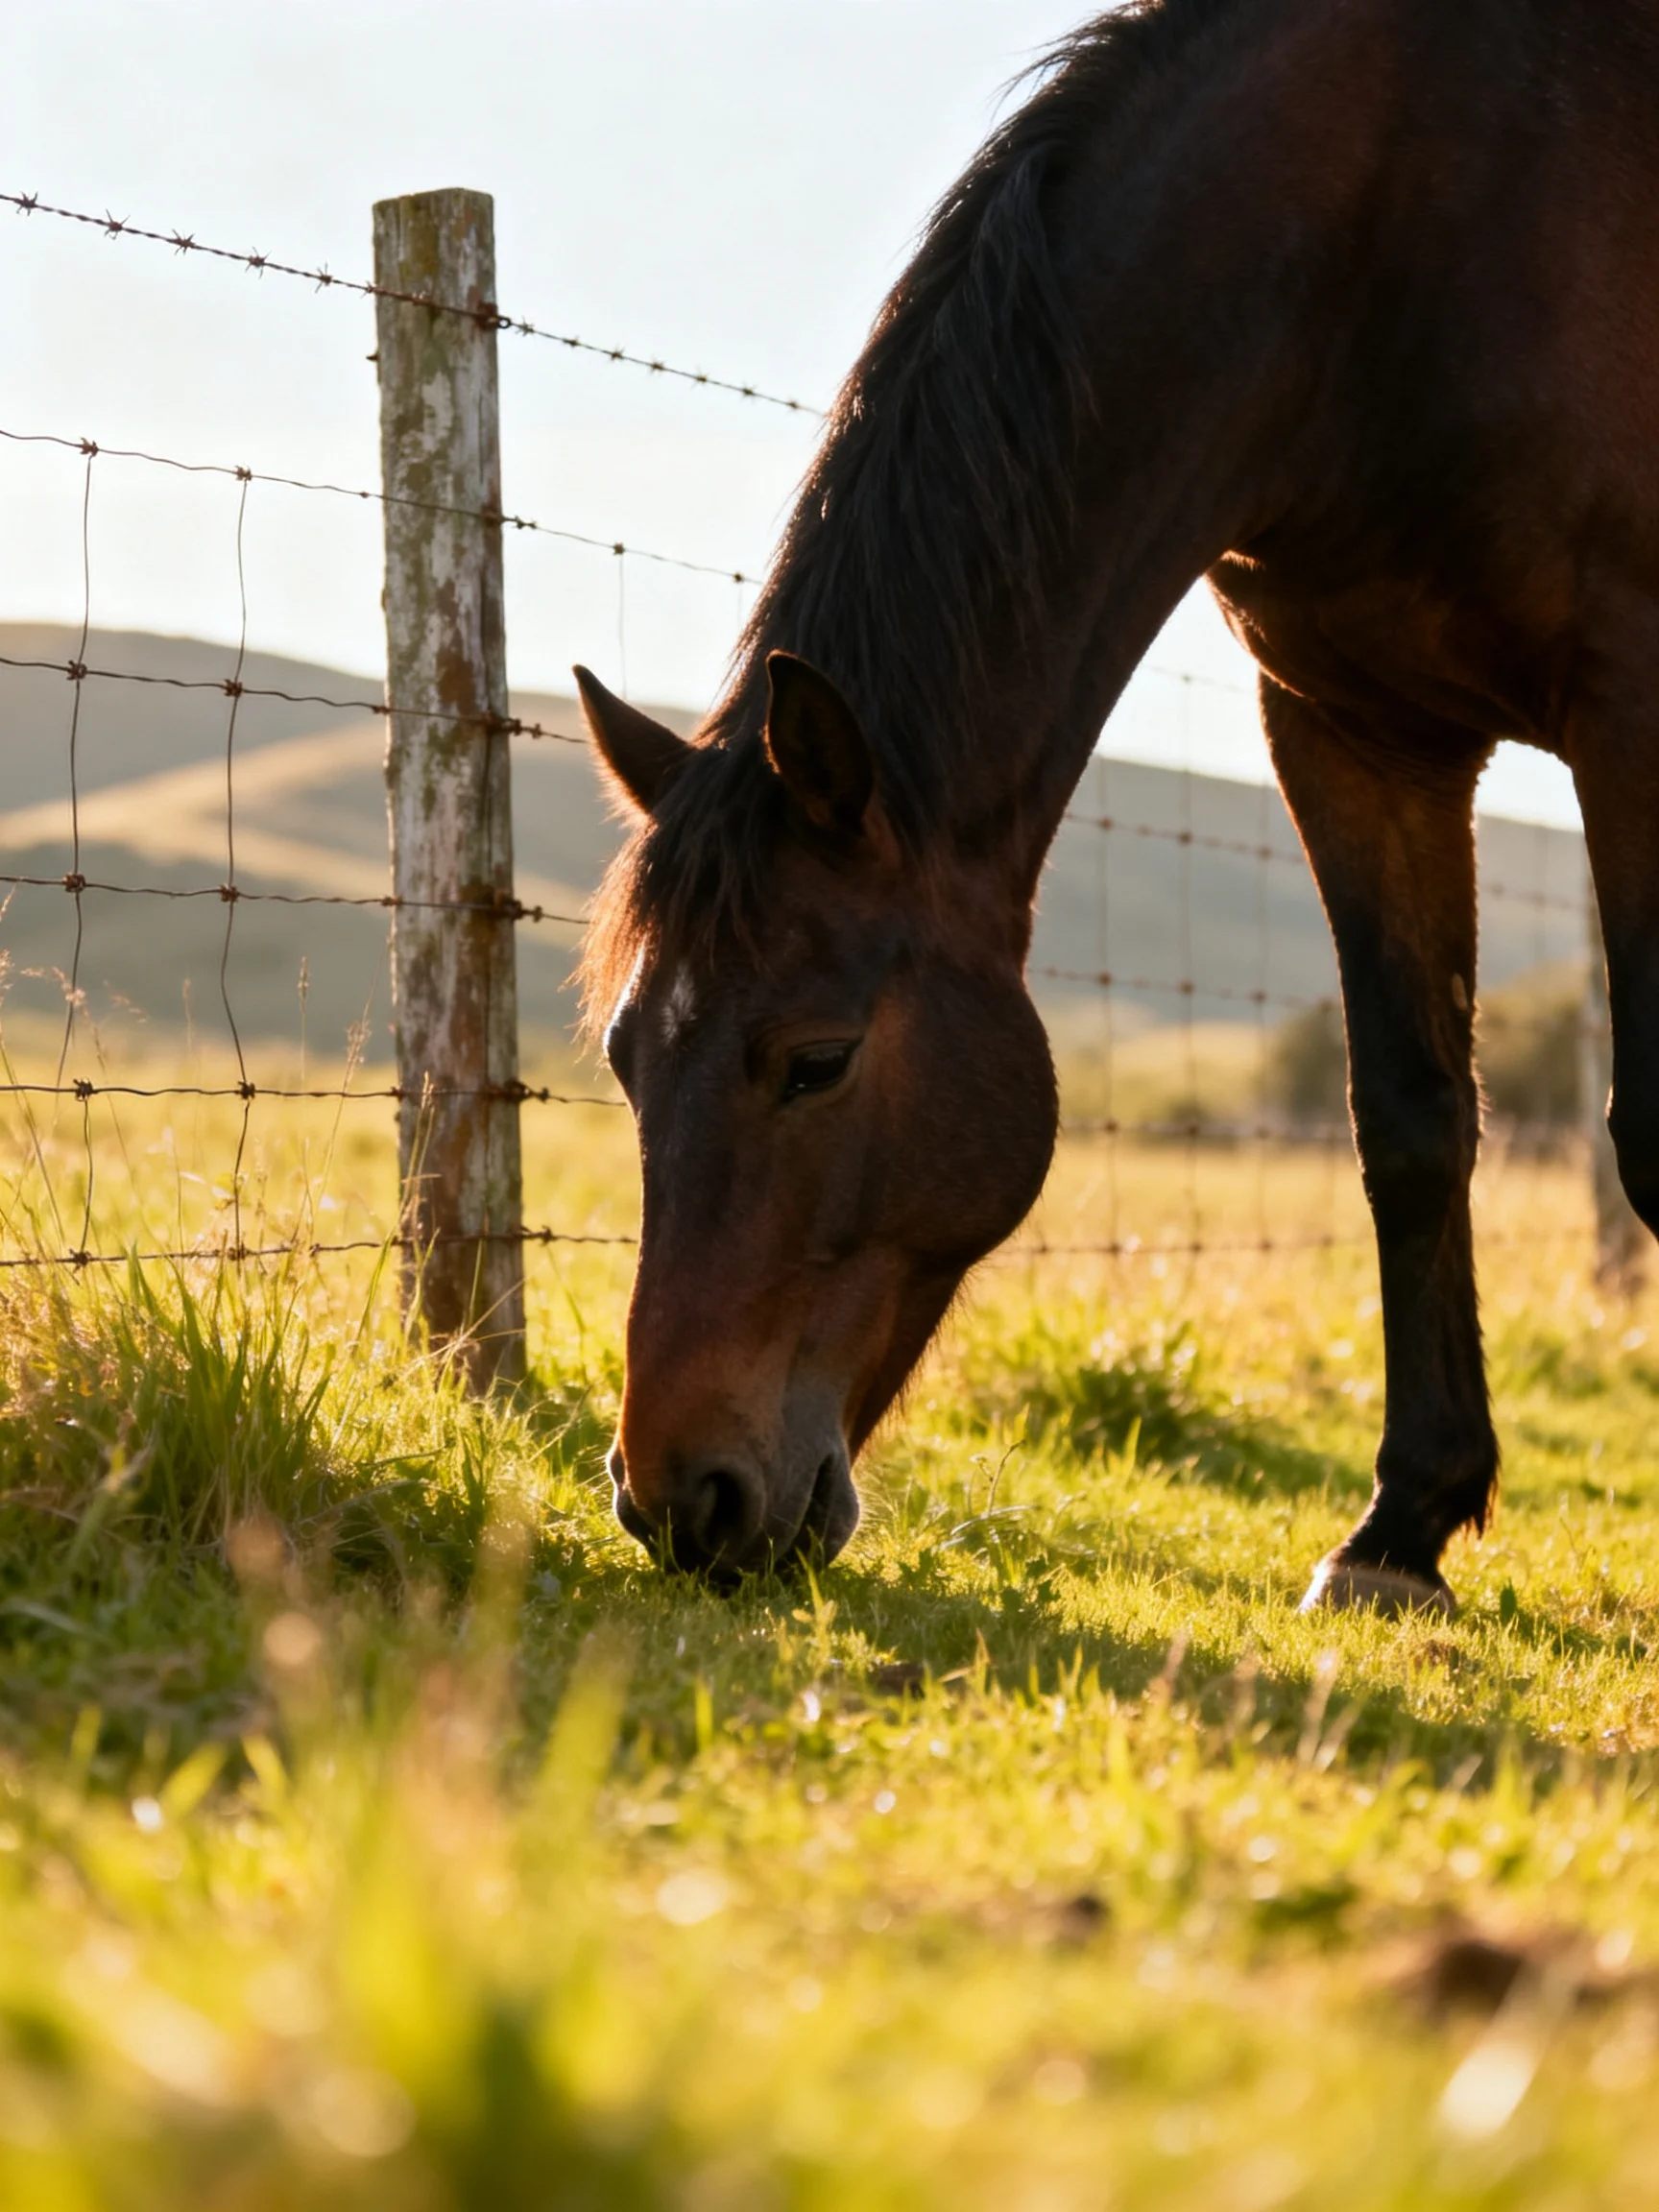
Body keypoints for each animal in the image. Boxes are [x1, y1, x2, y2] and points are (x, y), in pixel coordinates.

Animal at [575, 0, 1659, 1613]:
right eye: (627, 1058)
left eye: (818, 1062)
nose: (679, 1503)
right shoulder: (1353, 732)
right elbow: (1410, 1123)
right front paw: (1398, 1532)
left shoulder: (1636, 706)